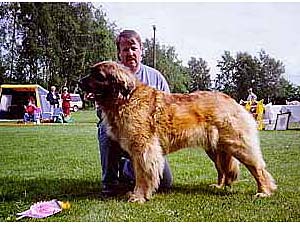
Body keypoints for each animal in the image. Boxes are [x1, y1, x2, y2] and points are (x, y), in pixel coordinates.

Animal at [79, 60, 276, 203]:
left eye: (98, 76)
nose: (79, 82)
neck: (125, 98)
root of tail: (233, 101)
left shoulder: (143, 149)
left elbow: (143, 175)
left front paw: (139, 196)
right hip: (215, 149)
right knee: (222, 169)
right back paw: (219, 186)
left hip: (238, 145)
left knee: (258, 168)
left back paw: (264, 191)